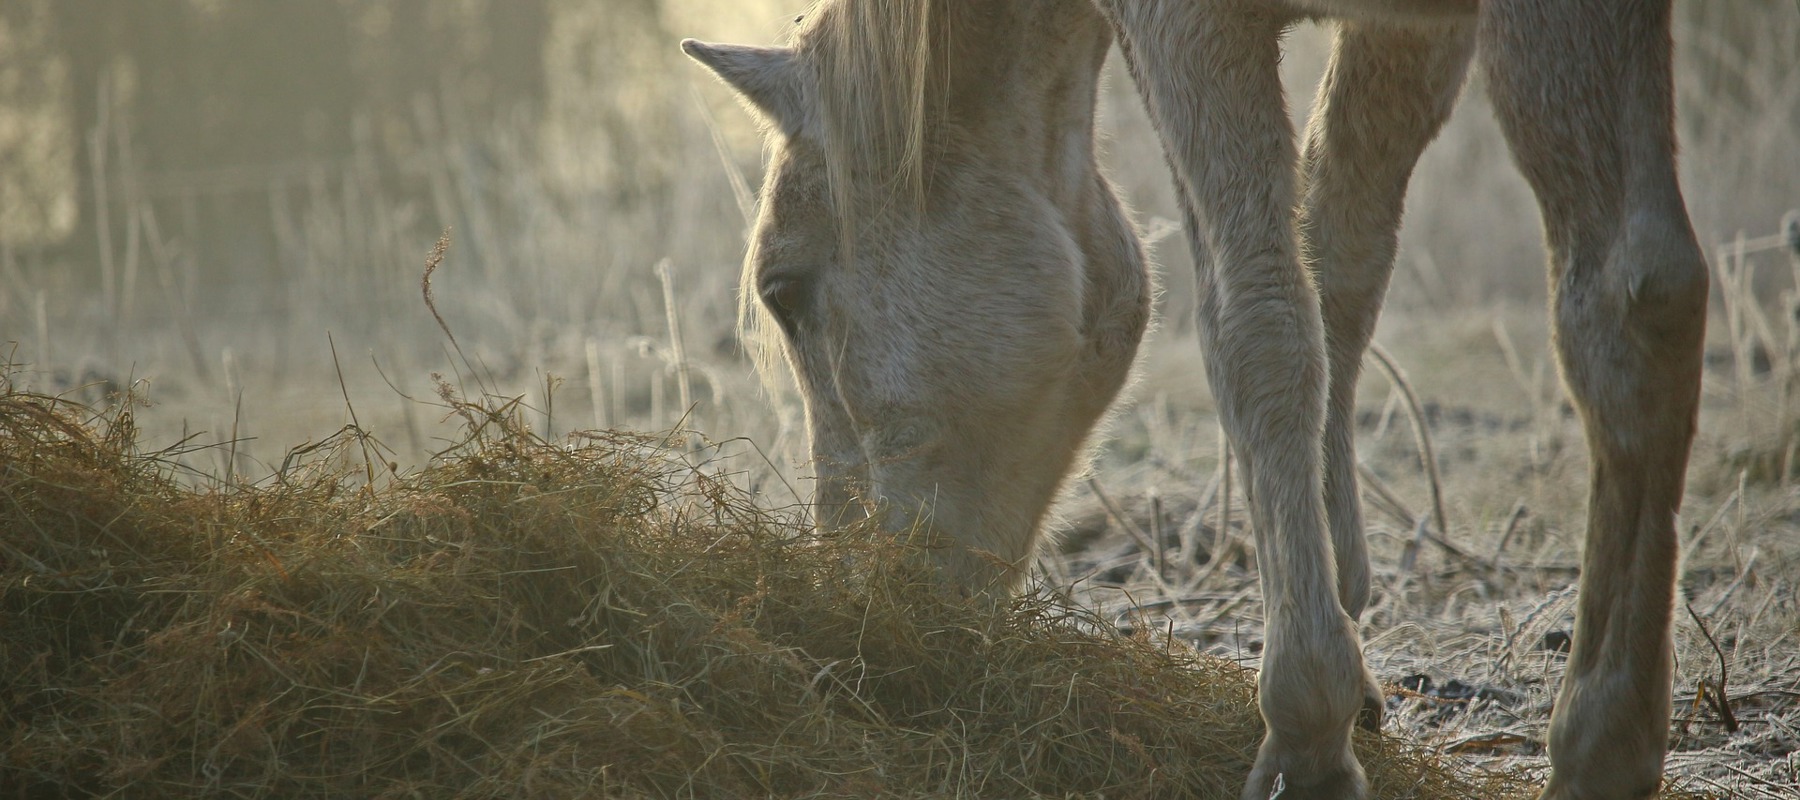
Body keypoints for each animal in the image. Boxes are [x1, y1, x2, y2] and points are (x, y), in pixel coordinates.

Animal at [680, 1, 1706, 800]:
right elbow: (1339, 259)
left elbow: (1258, 319)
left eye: (784, 290)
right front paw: (1344, 626)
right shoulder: (1411, 33)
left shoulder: (1188, 24)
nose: (854, 594)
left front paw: (1307, 726)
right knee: (1639, 299)